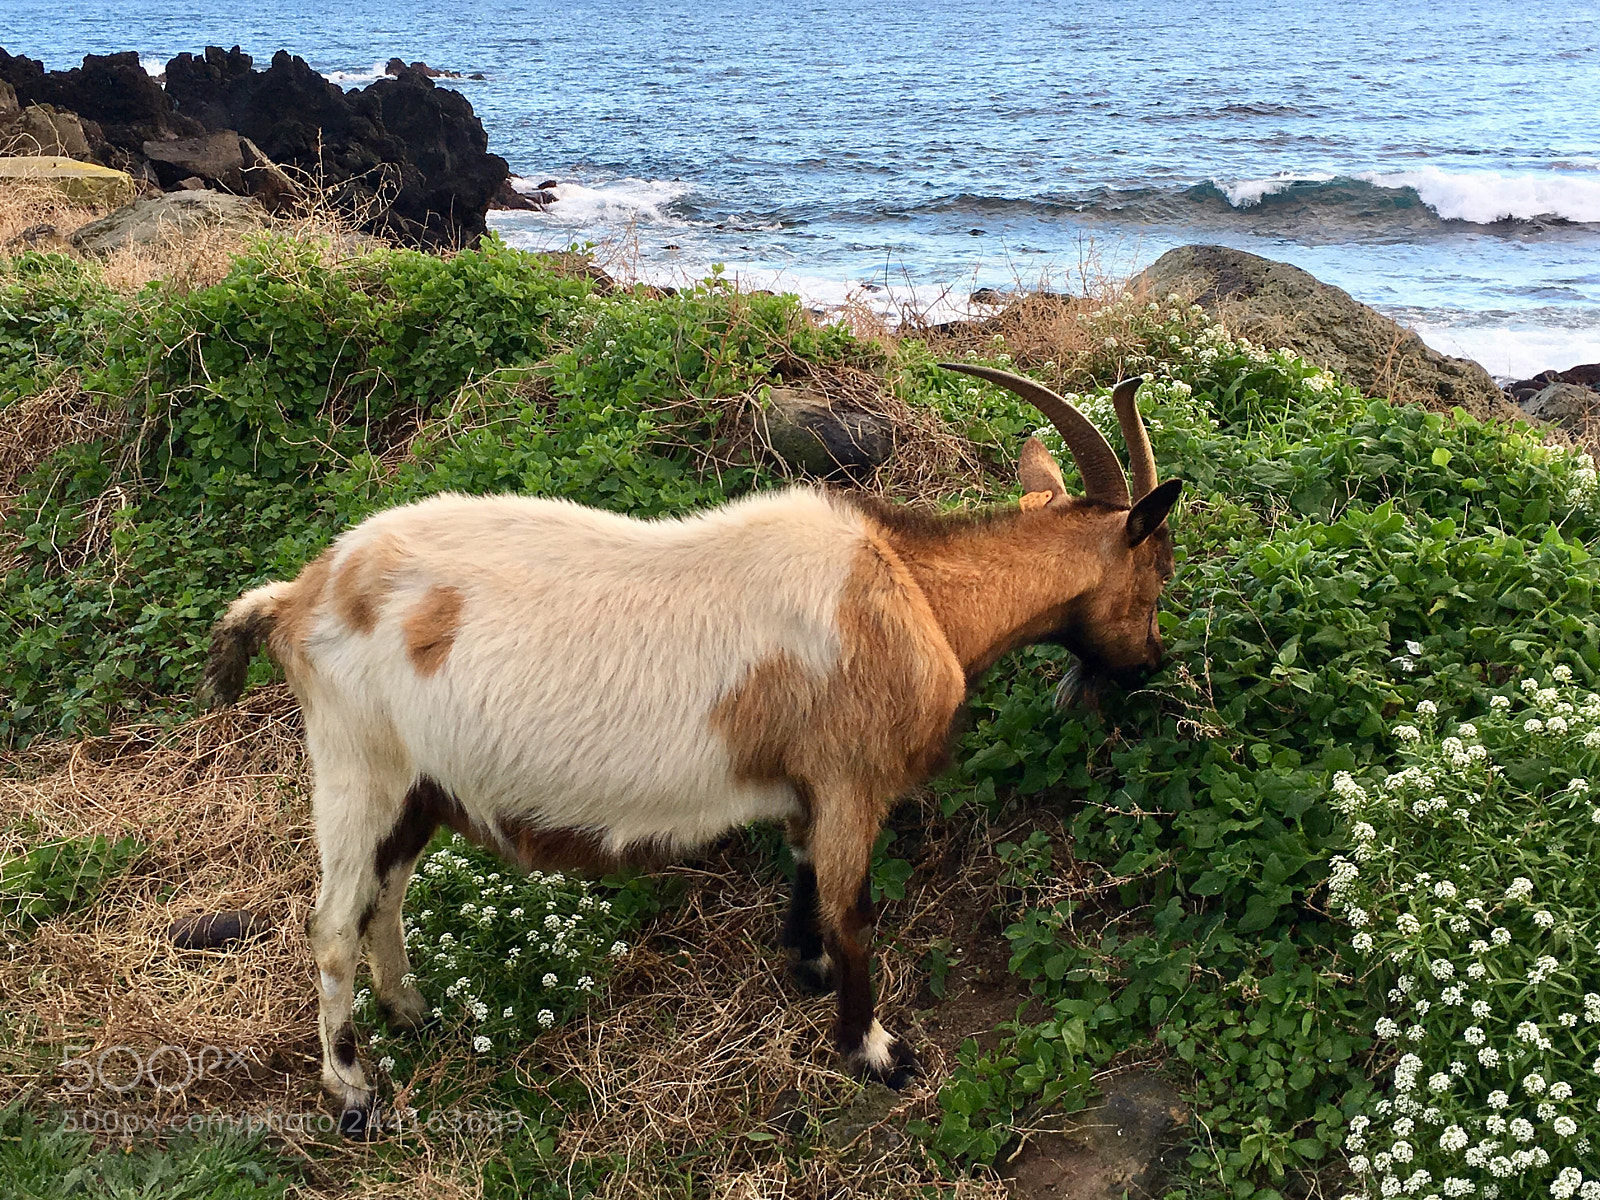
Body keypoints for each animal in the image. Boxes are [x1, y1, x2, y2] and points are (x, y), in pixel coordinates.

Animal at [202, 365, 1182, 1135]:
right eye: (1159, 570)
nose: (1150, 662)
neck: (912, 591)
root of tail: (296, 598)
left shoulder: (808, 788)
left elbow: (807, 880)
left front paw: (806, 968)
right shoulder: (852, 780)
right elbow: (857, 914)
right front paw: (875, 1051)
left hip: (419, 785)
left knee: (387, 895)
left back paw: (411, 1010)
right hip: (356, 767)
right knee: (332, 923)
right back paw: (353, 1092)